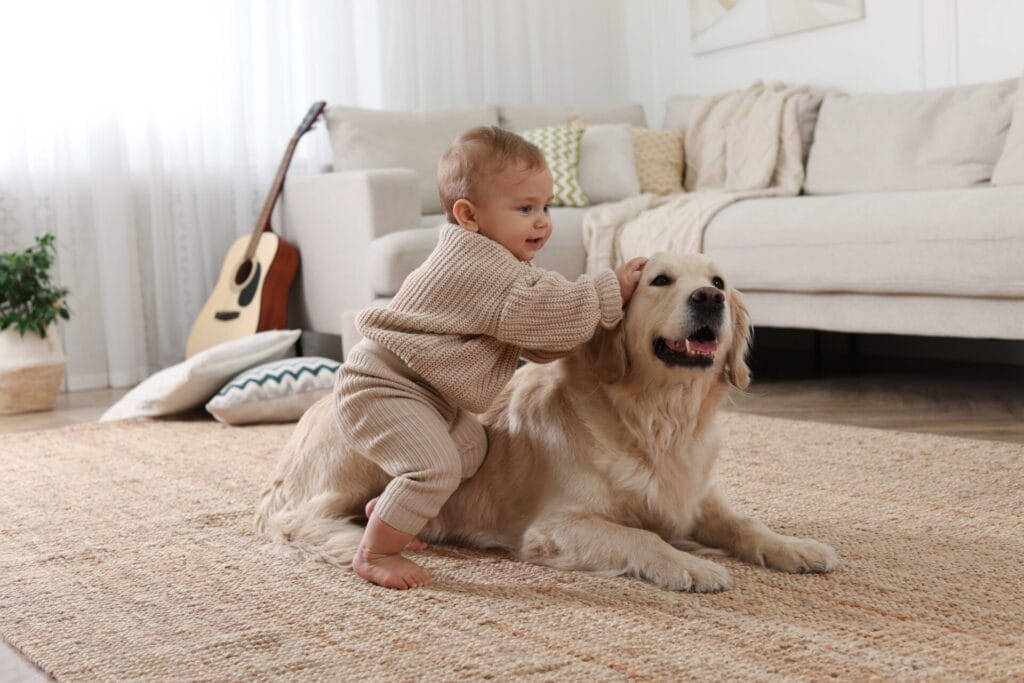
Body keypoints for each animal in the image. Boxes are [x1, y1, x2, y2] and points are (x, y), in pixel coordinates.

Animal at [256, 253, 839, 589]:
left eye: (718, 279)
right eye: (659, 280)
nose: (710, 298)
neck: (656, 416)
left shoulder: (693, 495)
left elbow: (746, 524)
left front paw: (795, 548)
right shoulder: (556, 526)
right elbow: (643, 538)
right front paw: (691, 565)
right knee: (305, 519)